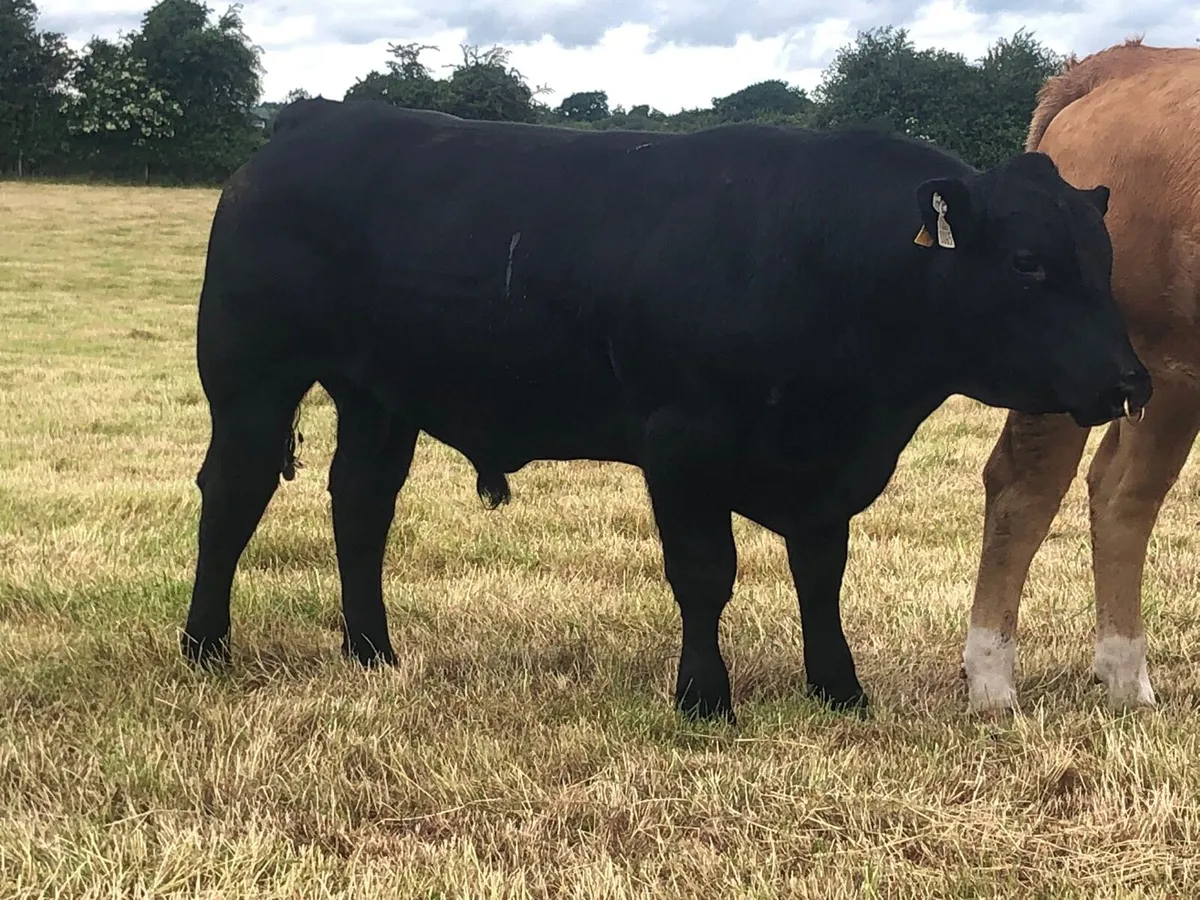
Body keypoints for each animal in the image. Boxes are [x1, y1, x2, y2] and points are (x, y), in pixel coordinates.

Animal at [182, 97, 1149, 723]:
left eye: (1106, 258)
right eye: (1026, 261)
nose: (1130, 381)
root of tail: (318, 119)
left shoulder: (824, 466)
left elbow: (821, 574)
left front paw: (838, 688)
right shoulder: (682, 443)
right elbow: (705, 573)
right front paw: (704, 697)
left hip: (380, 395)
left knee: (361, 503)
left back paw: (372, 651)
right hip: (250, 377)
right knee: (232, 496)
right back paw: (205, 647)